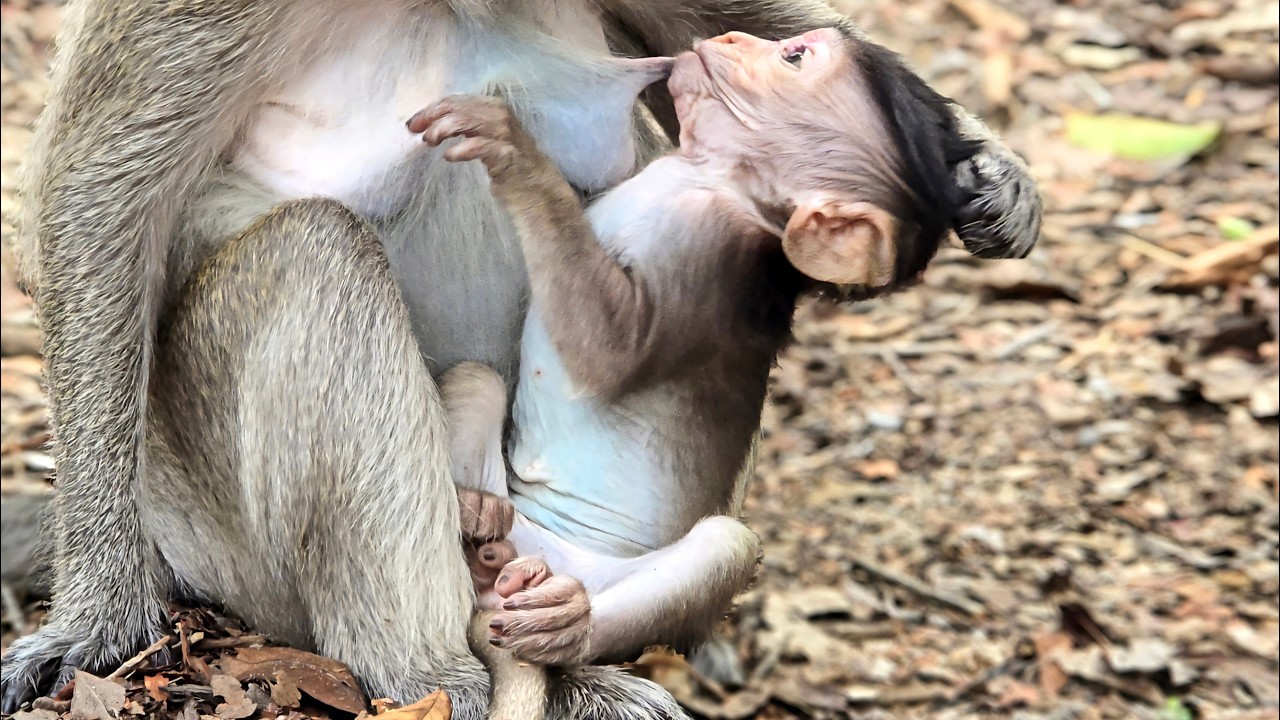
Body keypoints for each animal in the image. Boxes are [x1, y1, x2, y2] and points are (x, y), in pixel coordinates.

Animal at [1, 1, 1040, 717]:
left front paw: (980, 166)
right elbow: (102, 184)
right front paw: (96, 617)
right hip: (212, 522)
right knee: (317, 252)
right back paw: (439, 672)